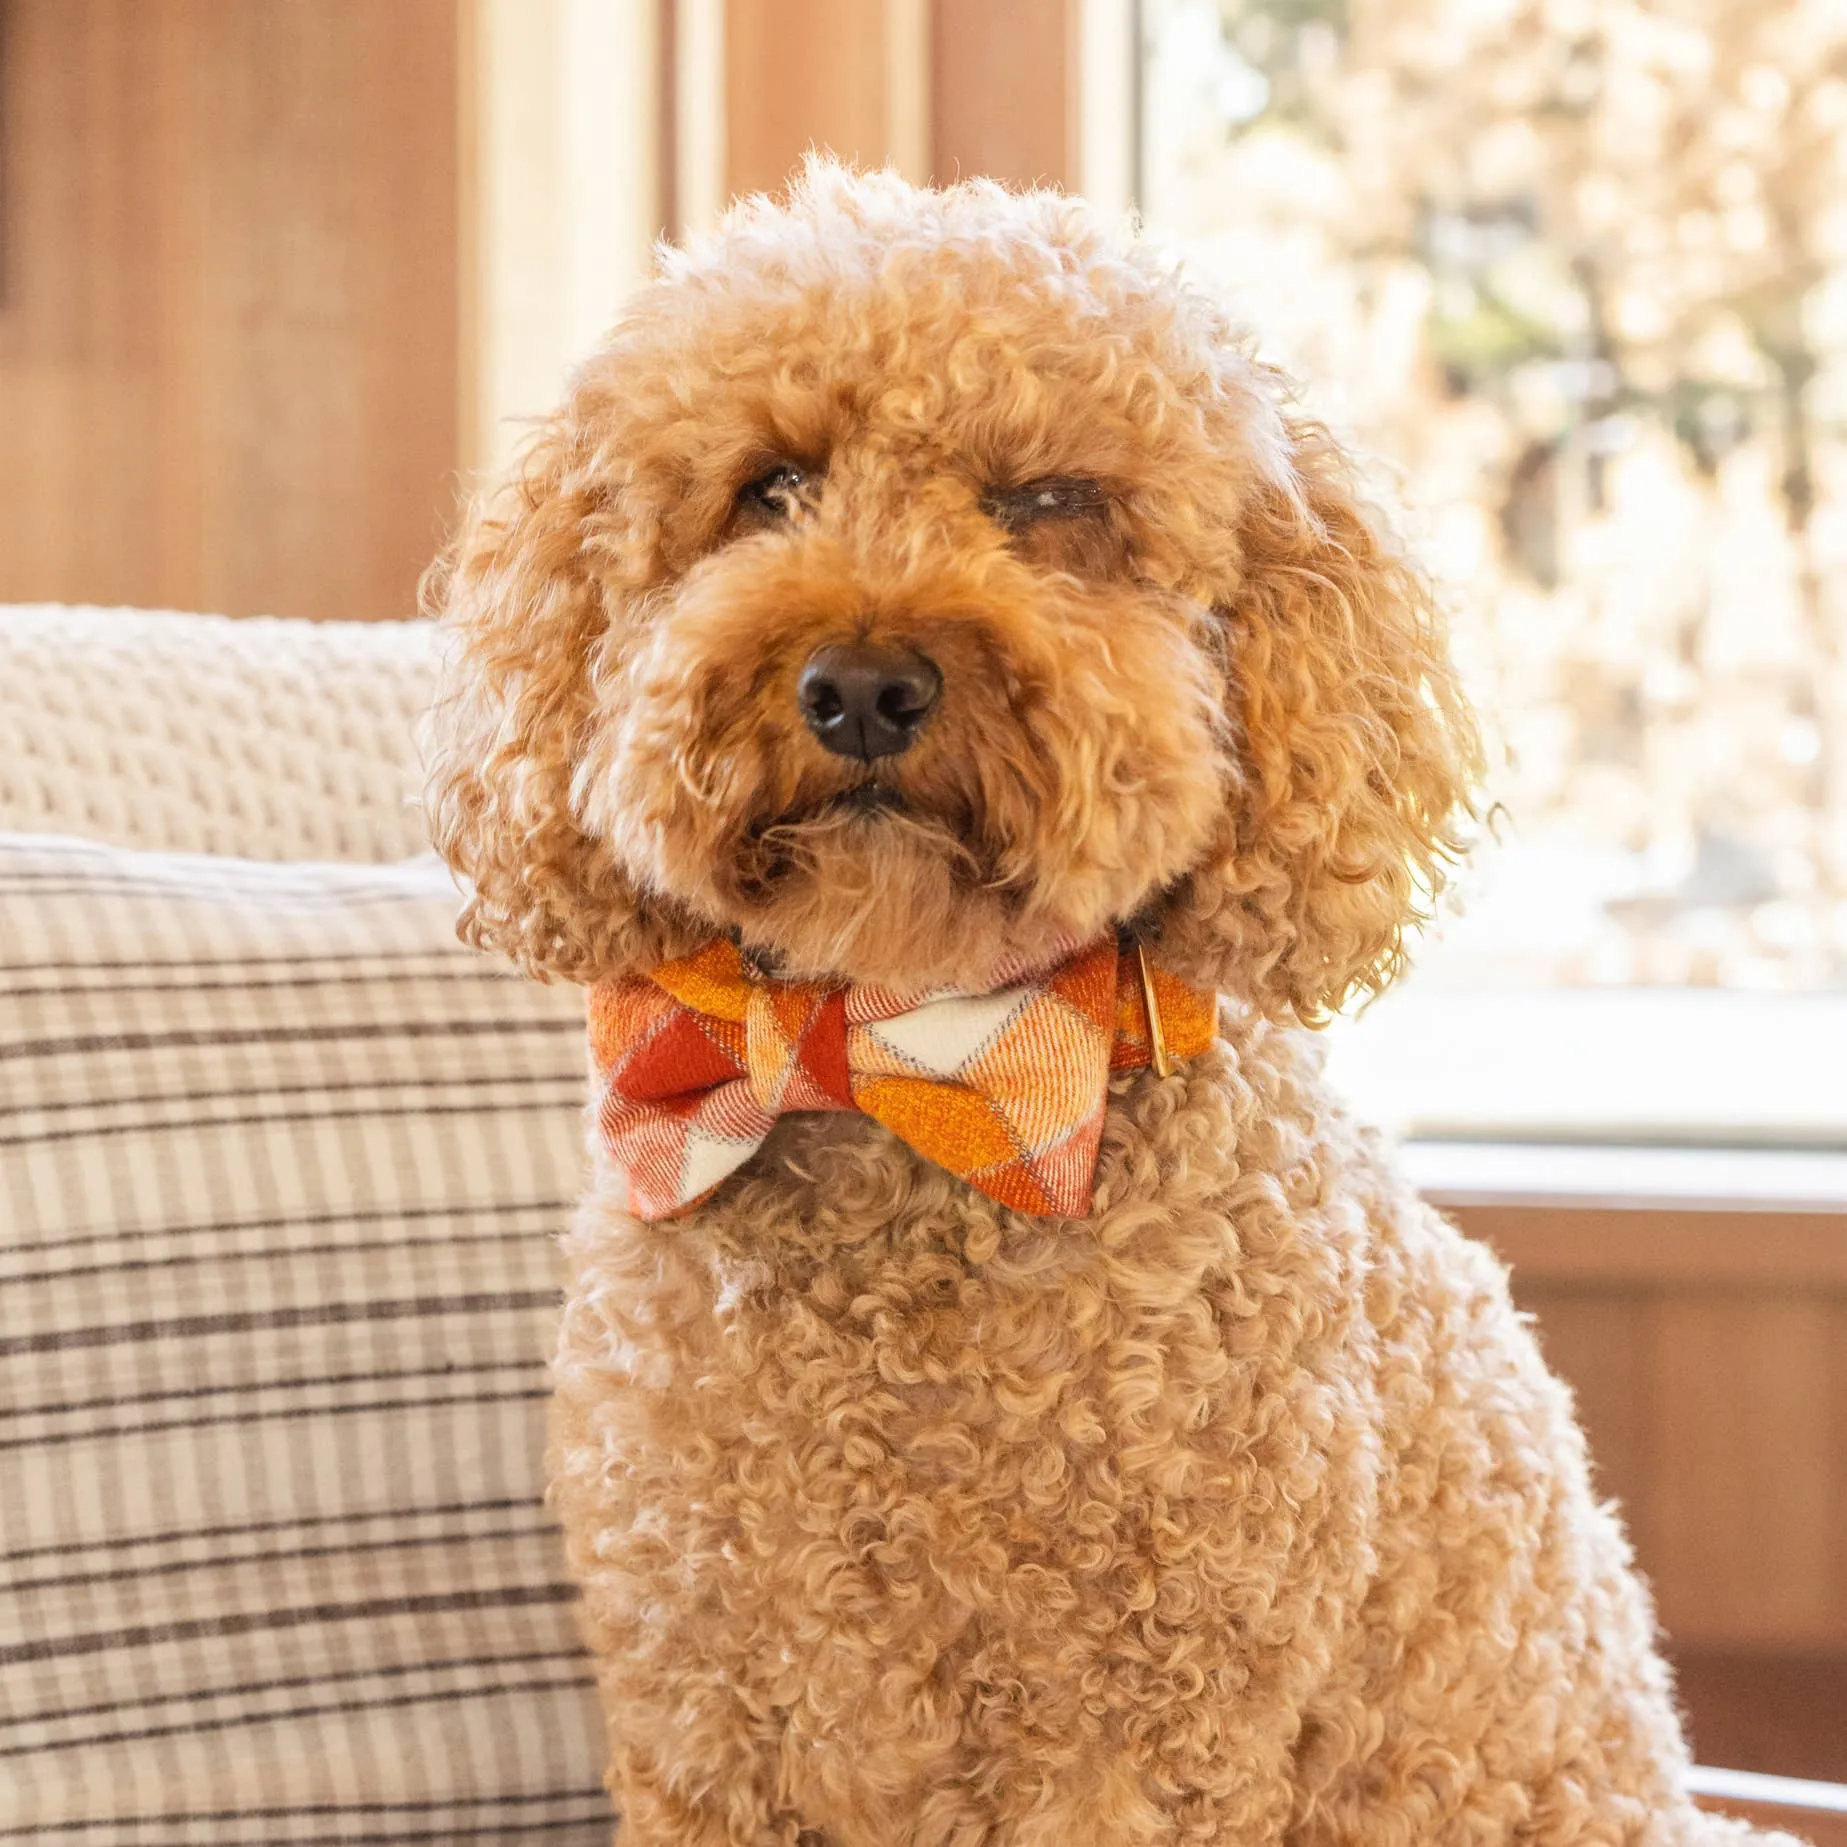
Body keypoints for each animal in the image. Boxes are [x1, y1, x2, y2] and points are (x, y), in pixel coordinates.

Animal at [422, 158, 1787, 1847]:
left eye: (1048, 506)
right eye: (768, 487)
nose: (859, 684)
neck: (904, 1064)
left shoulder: (1135, 1725)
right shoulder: (701, 1703)